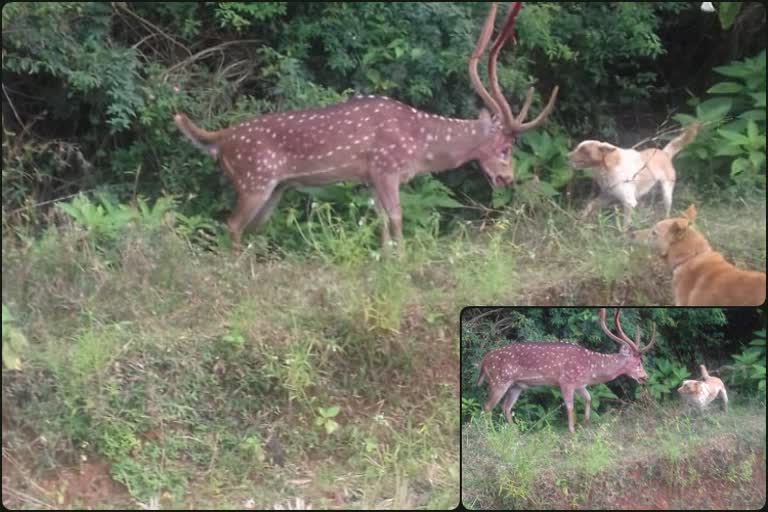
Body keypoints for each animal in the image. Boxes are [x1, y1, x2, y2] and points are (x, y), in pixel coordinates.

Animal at [174, 2, 560, 250]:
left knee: (249, 229)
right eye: (505, 148)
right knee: (231, 225)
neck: (419, 146)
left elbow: (382, 223)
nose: (508, 179)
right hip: (254, 178)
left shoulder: (370, 177)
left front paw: (385, 260)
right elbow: (398, 218)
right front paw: (402, 264)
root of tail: (219, 139)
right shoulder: (385, 167)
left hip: (275, 189)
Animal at [476, 308, 656, 432]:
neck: (590, 369)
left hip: (516, 385)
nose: (645, 376)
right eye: (638, 363)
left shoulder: (580, 384)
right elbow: (570, 406)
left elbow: (589, 398)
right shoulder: (565, 381)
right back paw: (490, 434)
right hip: (499, 380)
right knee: (487, 407)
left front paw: (585, 422)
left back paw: (514, 431)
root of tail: (484, 361)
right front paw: (572, 429)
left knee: (505, 407)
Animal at [568, 122, 700, 228]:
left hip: (667, 193)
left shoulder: (629, 202)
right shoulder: (607, 196)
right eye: (577, 147)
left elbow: (625, 224)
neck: (607, 168)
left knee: (667, 210)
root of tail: (664, 153)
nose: (566, 156)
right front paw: (579, 219)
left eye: (585, 151)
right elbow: (590, 205)